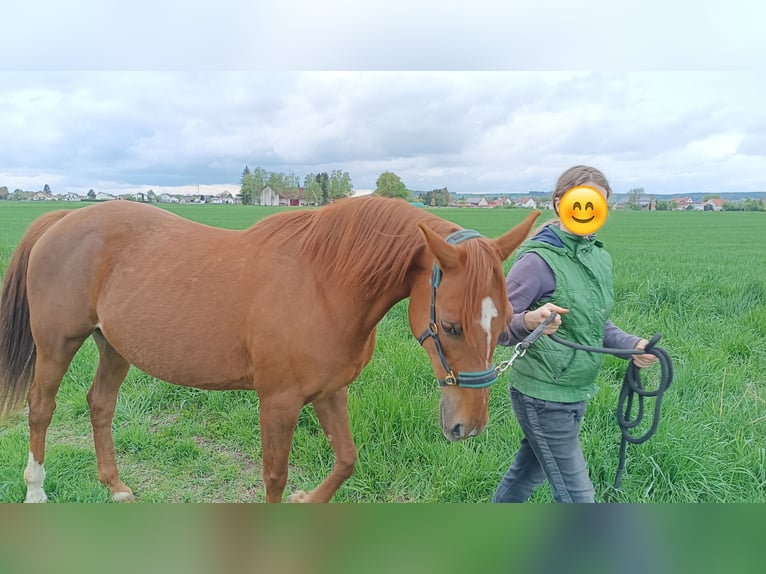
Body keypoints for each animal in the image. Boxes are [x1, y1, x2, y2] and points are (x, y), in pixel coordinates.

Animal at [0, 196, 539, 502]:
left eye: (505, 322)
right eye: (450, 326)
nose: (468, 426)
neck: (324, 283)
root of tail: (65, 218)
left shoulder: (330, 392)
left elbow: (347, 460)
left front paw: (308, 501)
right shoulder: (278, 402)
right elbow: (274, 476)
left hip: (113, 346)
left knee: (99, 405)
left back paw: (115, 487)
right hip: (57, 344)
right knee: (41, 408)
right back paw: (36, 491)